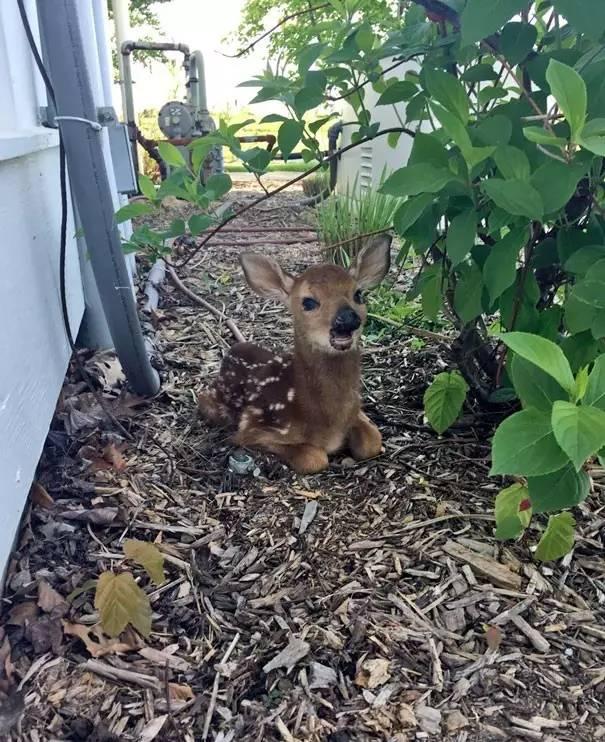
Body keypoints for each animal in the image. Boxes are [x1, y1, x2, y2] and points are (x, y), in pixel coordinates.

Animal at [196, 235, 390, 474]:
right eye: (309, 301)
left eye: (358, 294)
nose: (348, 318)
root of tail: (232, 350)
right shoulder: (253, 428)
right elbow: (315, 458)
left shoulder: (357, 411)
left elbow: (373, 441)